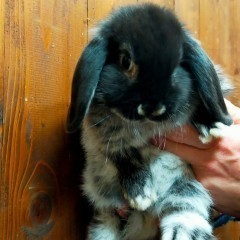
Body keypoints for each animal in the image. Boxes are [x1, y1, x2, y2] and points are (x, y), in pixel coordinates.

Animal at [67, 3, 232, 240]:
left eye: (177, 66)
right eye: (126, 62)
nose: (153, 107)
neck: (146, 125)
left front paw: (212, 127)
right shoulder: (104, 141)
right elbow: (127, 158)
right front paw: (140, 195)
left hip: (186, 189)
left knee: (185, 210)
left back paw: (179, 233)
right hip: (107, 216)